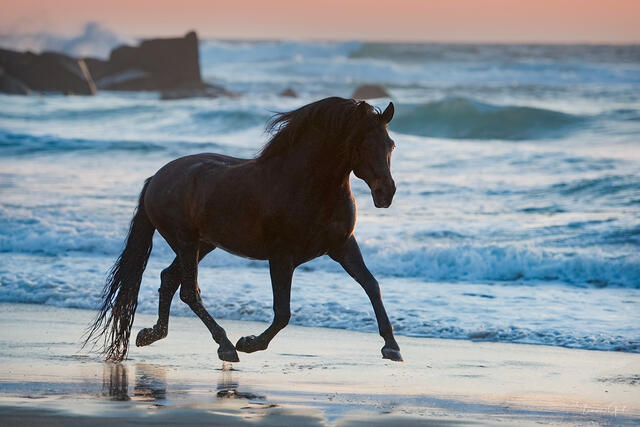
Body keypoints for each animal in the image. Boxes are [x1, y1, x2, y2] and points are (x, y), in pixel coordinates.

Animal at [85, 96, 402, 363]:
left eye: (391, 145)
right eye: (362, 145)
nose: (386, 193)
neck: (307, 185)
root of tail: (156, 178)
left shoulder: (343, 246)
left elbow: (371, 285)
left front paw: (392, 347)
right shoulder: (281, 257)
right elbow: (283, 313)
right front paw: (250, 343)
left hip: (204, 244)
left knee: (169, 279)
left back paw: (152, 334)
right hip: (186, 242)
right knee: (189, 291)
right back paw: (225, 345)